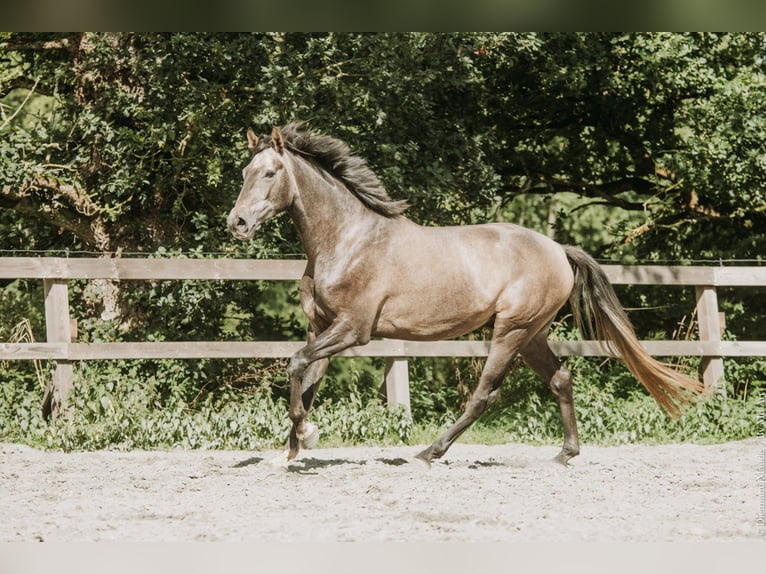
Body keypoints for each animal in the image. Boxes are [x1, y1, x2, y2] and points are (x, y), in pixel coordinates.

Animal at [227, 123, 703, 467]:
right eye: (244, 173)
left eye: (270, 173)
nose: (237, 223)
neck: (349, 240)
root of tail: (557, 250)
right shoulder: (322, 327)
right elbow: (307, 381)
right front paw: (291, 449)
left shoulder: (353, 329)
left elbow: (295, 364)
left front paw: (304, 437)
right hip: (533, 334)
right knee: (561, 379)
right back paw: (564, 455)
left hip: (510, 331)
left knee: (484, 395)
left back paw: (428, 454)